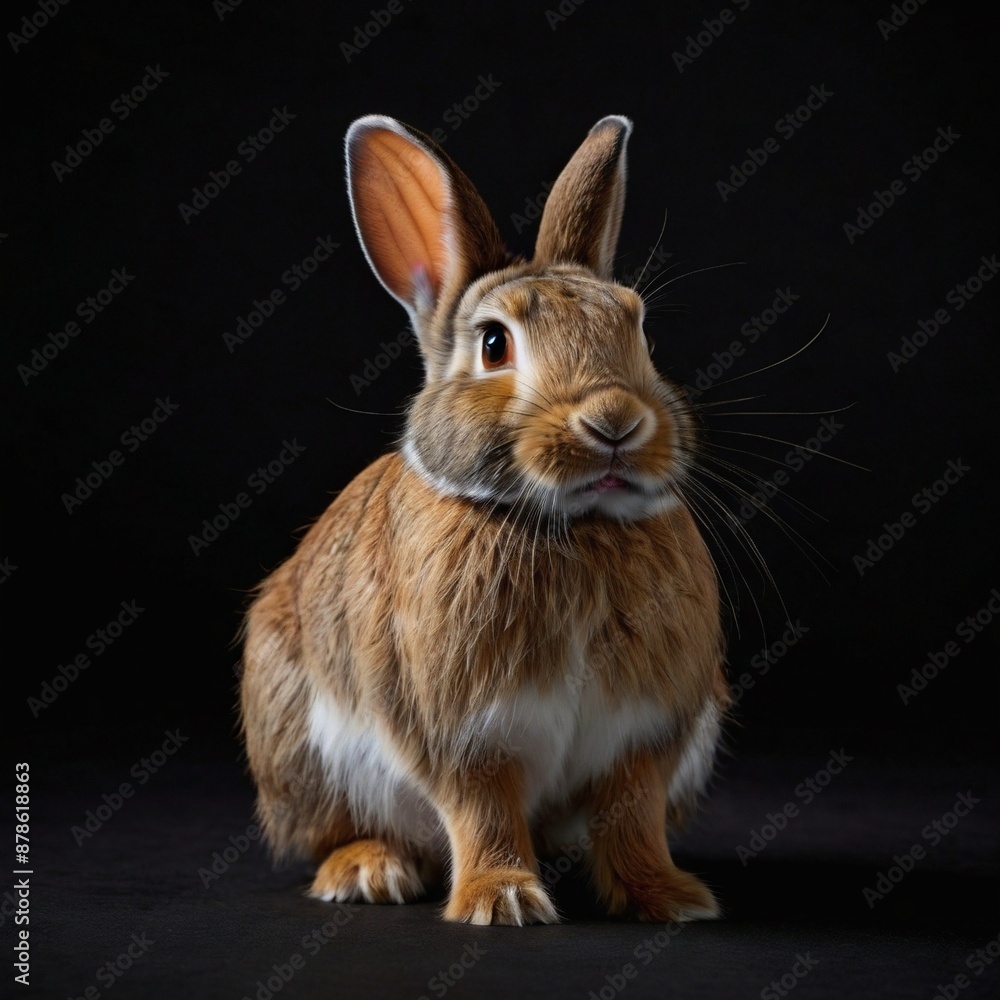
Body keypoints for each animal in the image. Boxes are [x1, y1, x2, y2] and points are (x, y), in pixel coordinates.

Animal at [239, 112, 729, 926]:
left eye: (641, 333)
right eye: (494, 345)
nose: (615, 420)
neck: (570, 526)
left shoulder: (643, 739)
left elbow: (633, 816)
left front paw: (673, 898)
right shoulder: (462, 734)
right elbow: (482, 808)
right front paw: (502, 902)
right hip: (297, 744)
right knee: (335, 830)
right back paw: (367, 871)